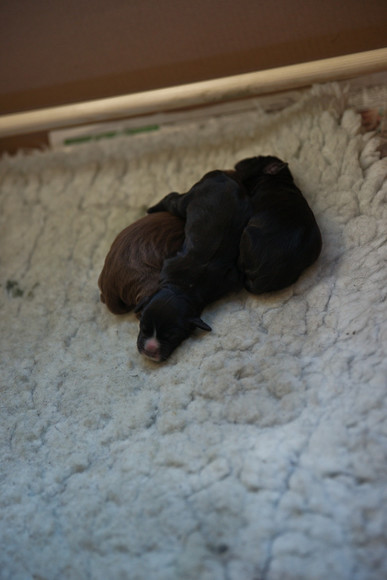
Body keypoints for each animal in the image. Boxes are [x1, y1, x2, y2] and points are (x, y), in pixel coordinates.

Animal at [136, 169, 252, 362]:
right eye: (142, 327)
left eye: (172, 336)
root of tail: (221, 176)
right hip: (187, 201)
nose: (150, 350)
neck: (182, 287)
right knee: (172, 197)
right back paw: (152, 208)